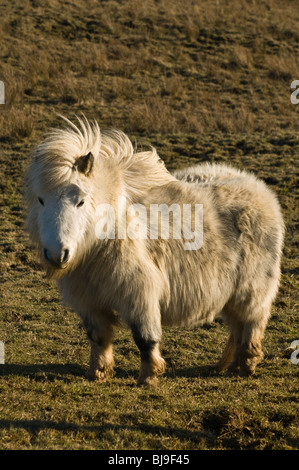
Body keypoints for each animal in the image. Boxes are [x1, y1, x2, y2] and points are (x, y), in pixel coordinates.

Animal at [24, 117, 284, 386]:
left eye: (81, 201)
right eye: (41, 200)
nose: (57, 254)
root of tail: (261, 191)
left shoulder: (139, 294)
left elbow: (144, 338)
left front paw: (148, 376)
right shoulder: (89, 301)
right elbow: (98, 337)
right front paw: (98, 373)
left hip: (251, 293)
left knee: (251, 326)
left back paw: (245, 366)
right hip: (230, 295)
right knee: (237, 329)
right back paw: (230, 366)